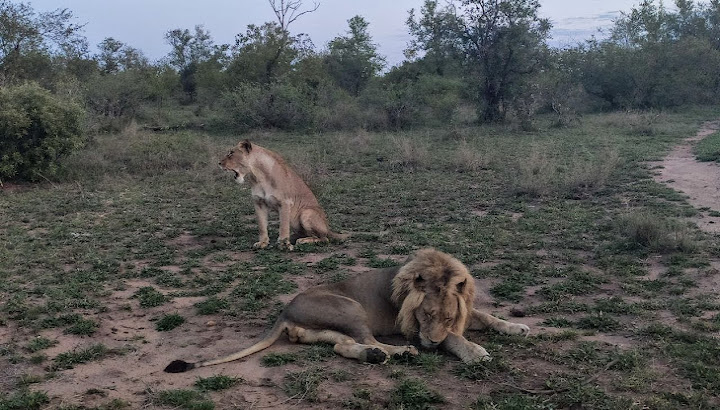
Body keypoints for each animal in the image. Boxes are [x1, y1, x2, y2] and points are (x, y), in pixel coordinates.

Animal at [166, 247, 532, 372]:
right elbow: (453, 340)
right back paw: (399, 354)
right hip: (350, 308)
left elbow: (485, 316)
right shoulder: (413, 327)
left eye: (448, 316)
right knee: (368, 340)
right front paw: (475, 353)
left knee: (343, 346)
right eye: (426, 315)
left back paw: (375, 356)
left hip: (326, 328)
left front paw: (517, 327)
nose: (429, 343)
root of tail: (285, 311)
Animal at [218, 139, 348, 251]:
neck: (258, 176)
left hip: (306, 212)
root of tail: (328, 228)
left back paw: (303, 241)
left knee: (324, 238)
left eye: (231, 153)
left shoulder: (285, 202)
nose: (219, 163)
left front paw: (284, 245)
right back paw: (295, 238)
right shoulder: (259, 202)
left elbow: (284, 226)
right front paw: (263, 243)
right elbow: (262, 225)